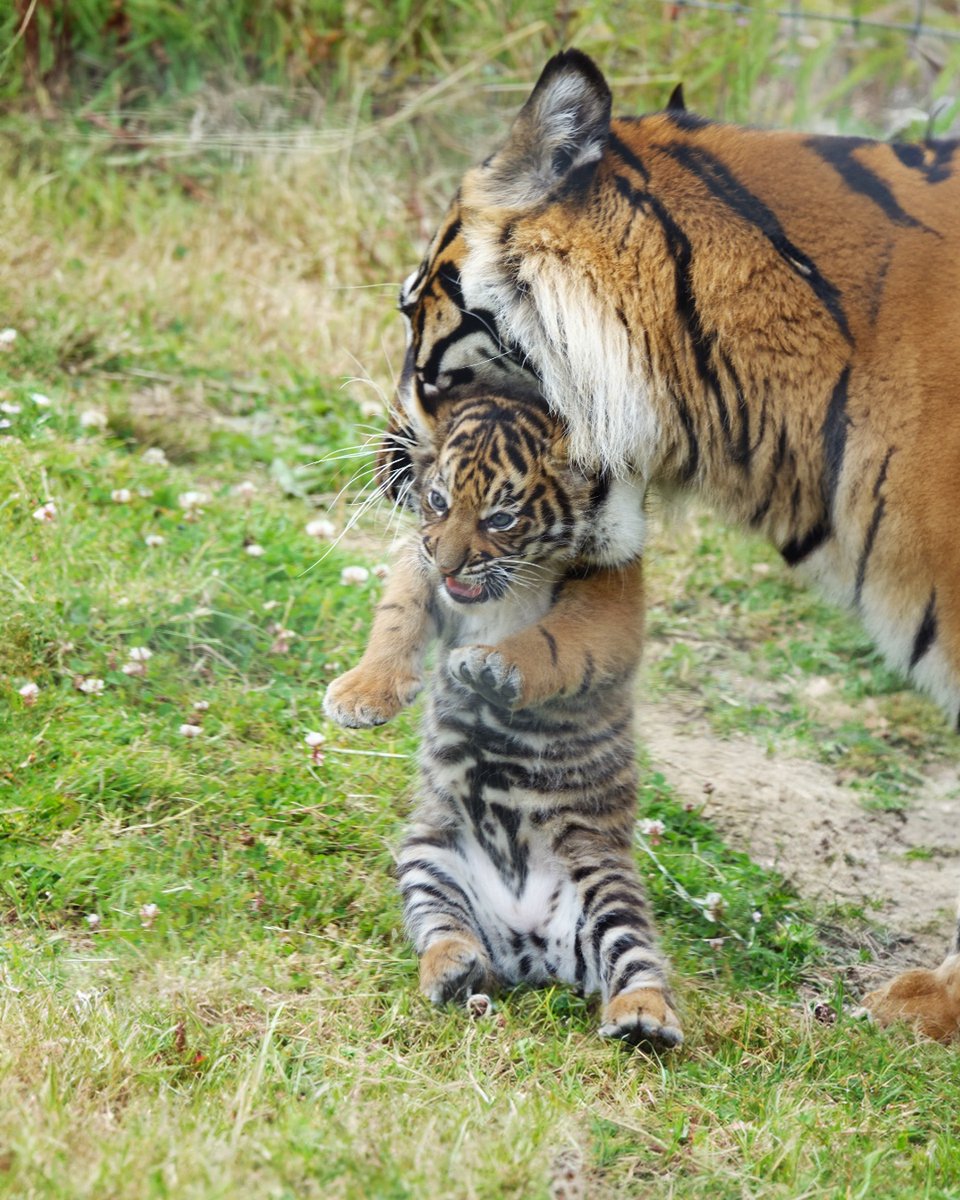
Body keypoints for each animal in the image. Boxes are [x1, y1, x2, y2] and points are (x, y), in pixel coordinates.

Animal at [323, 387, 683, 1049]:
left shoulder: (611, 604)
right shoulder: (420, 562)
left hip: (604, 883)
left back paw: (642, 1017)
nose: (450, 565)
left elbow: (554, 643)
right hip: (430, 859)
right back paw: (452, 968)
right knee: (445, 928)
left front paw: (489, 667)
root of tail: (528, 945)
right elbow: (398, 614)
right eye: (438, 501)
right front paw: (362, 694)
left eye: (501, 519)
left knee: (637, 960)